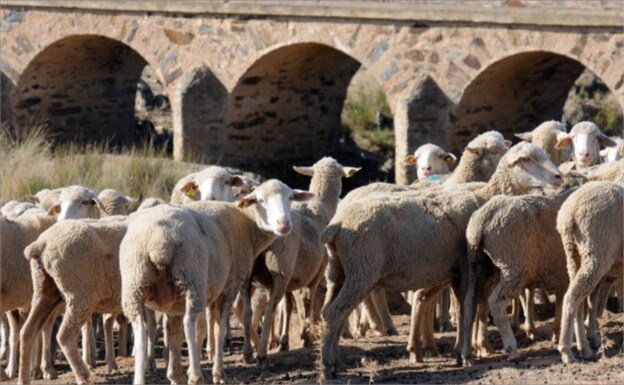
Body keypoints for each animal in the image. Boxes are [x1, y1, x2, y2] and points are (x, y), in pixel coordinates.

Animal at [18, 218, 128, 382]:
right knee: (65, 335)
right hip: (79, 294)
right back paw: (83, 375)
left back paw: (25, 378)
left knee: (27, 332)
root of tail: (41, 244)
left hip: (44, 291)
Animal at [122, 180, 314, 384]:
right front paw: (218, 373)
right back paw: (196, 376)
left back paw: (144, 378)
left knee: (141, 331)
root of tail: (158, 243)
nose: (284, 225)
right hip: (193, 280)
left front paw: (176, 374)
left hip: (135, 285)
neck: (246, 224)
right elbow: (219, 327)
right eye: (261, 200)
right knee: (189, 323)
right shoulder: (230, 284)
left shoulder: (182, 300)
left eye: (290, 198)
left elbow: (178, 329)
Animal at [320, 140, 564, 376]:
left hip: (339, 272)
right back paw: (328, 367)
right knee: (335, 313)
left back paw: (337, 361)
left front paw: (464, 350)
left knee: (330, 312)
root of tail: (337, 223)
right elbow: (468, 308)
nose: (558, 177)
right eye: (525, 159)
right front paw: (468, 352)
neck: (484, 196)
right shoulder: (468, 269)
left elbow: (468, 307)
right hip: (362, 271)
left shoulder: (458, 272)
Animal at [560, 182, 620, 362]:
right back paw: (566, 350)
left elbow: (593, 301)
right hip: (596, 254)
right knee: (572, 297)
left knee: (580, 298)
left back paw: (584, 347)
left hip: (576, 254)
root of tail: (569, 213)